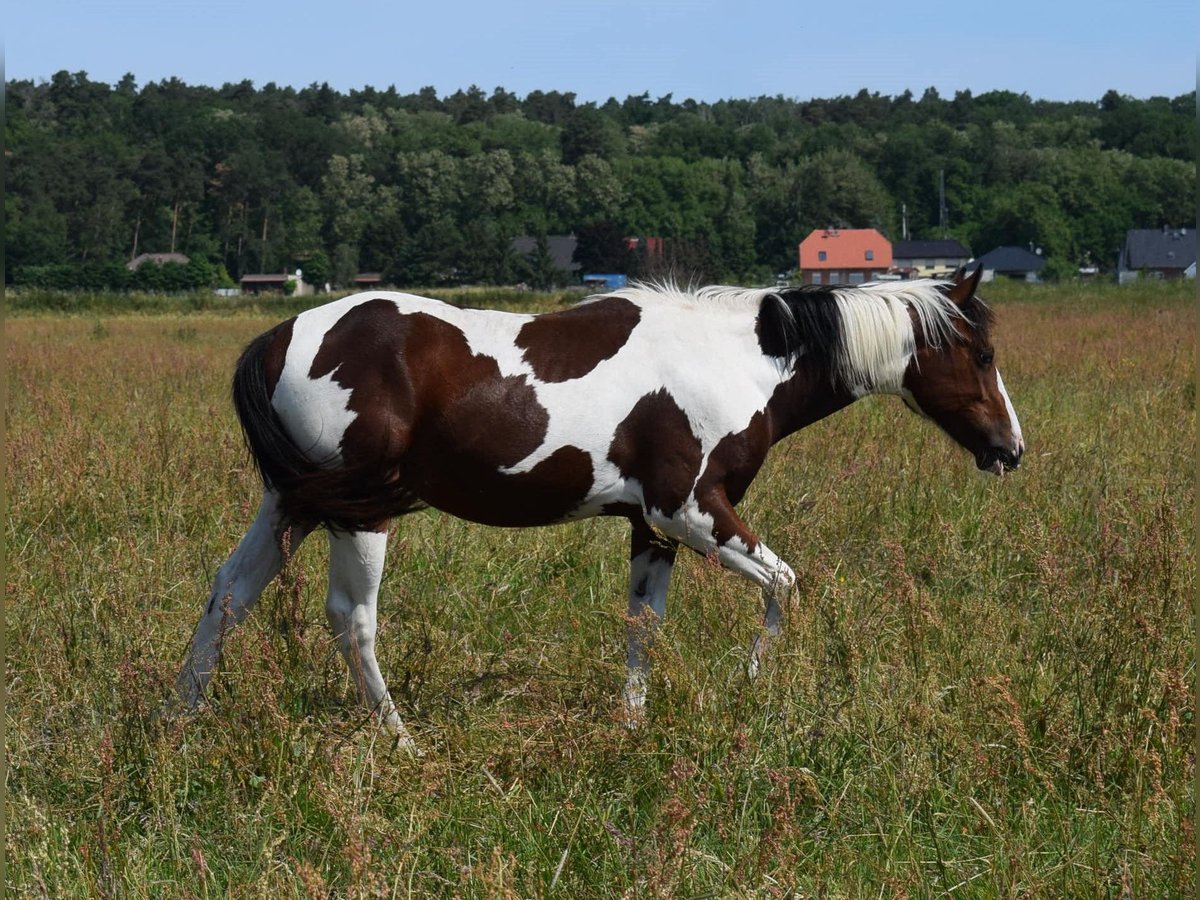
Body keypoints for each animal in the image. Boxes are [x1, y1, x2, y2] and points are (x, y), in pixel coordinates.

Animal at [175, 267, 1023, 748]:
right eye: (981, 354)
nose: (1009, 450)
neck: (739, 360)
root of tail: (282, 337)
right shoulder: (690, 510)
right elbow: (785, 585)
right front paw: (752, 685)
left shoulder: (652, 528)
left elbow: (643, 624)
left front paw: (633, 722)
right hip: (357, 514)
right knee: (350, 620)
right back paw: (400, 740)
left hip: (289, 505)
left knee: (227, 595)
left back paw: (180, 722)